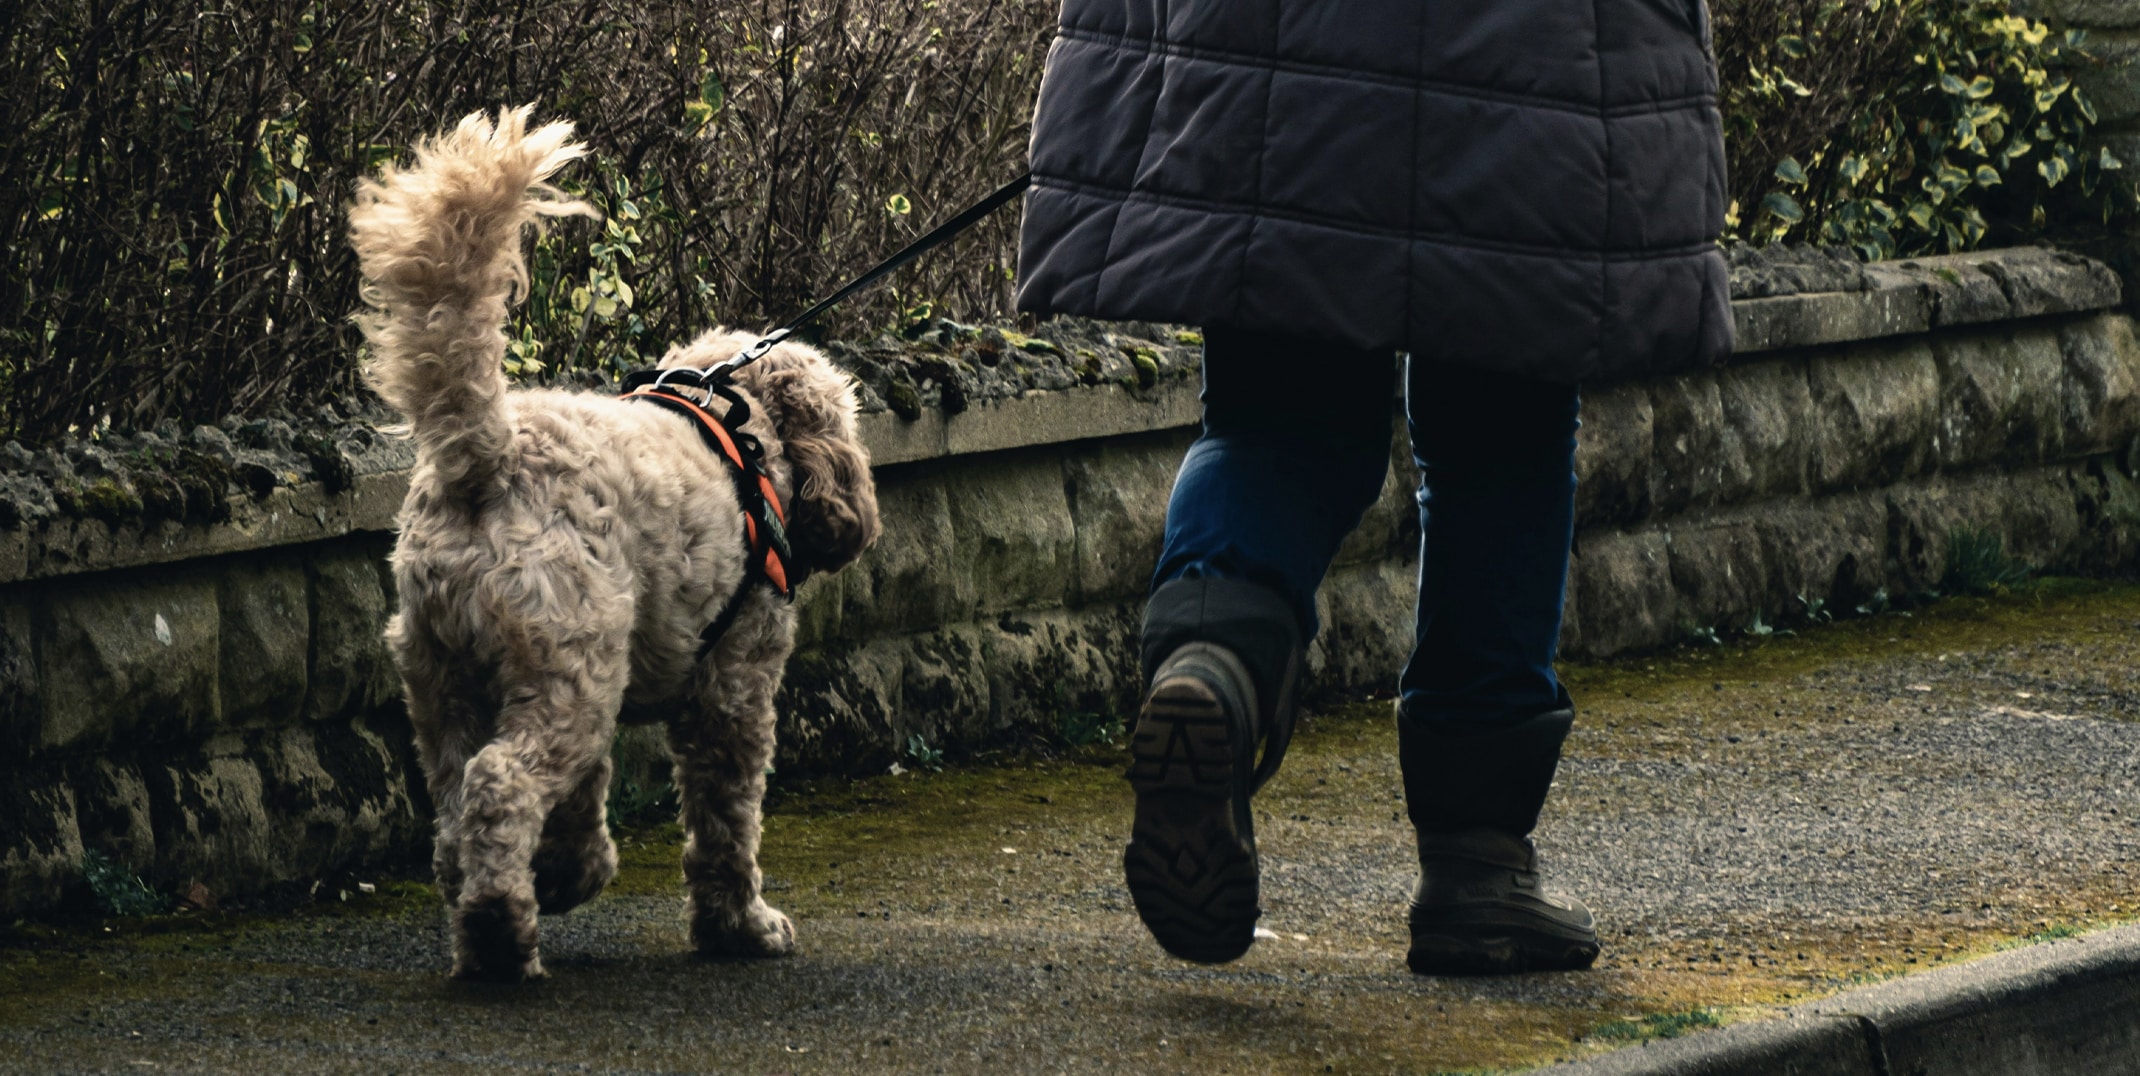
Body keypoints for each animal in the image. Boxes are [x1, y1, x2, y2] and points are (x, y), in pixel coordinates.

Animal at [348, 107, 877, 975]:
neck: (738, 423)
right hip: (567, 670)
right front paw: (741, 926)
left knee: (458, 807)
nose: (856, 522)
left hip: (454, 675)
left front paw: (574, 870)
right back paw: (500, 931)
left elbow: (586, 801)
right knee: (500, 783)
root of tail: (488, 459)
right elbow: (727, 819)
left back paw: (488, 907)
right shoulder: (732, 686)